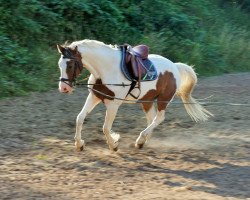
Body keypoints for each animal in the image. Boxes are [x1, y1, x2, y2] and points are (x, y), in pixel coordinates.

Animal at [57, 39, 213, 152]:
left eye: (70, 65)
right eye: (60, 65)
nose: (63, 88)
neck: (105, 69)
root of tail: (175, 66)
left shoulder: (113, 104)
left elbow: (106, 127)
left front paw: (113, 145)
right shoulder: (95, 97)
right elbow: (80, 118)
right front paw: (79, 144)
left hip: (163, 100)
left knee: (159, 118)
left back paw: (140, 139)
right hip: (147, 100)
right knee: (151, 119)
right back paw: (143, 141)